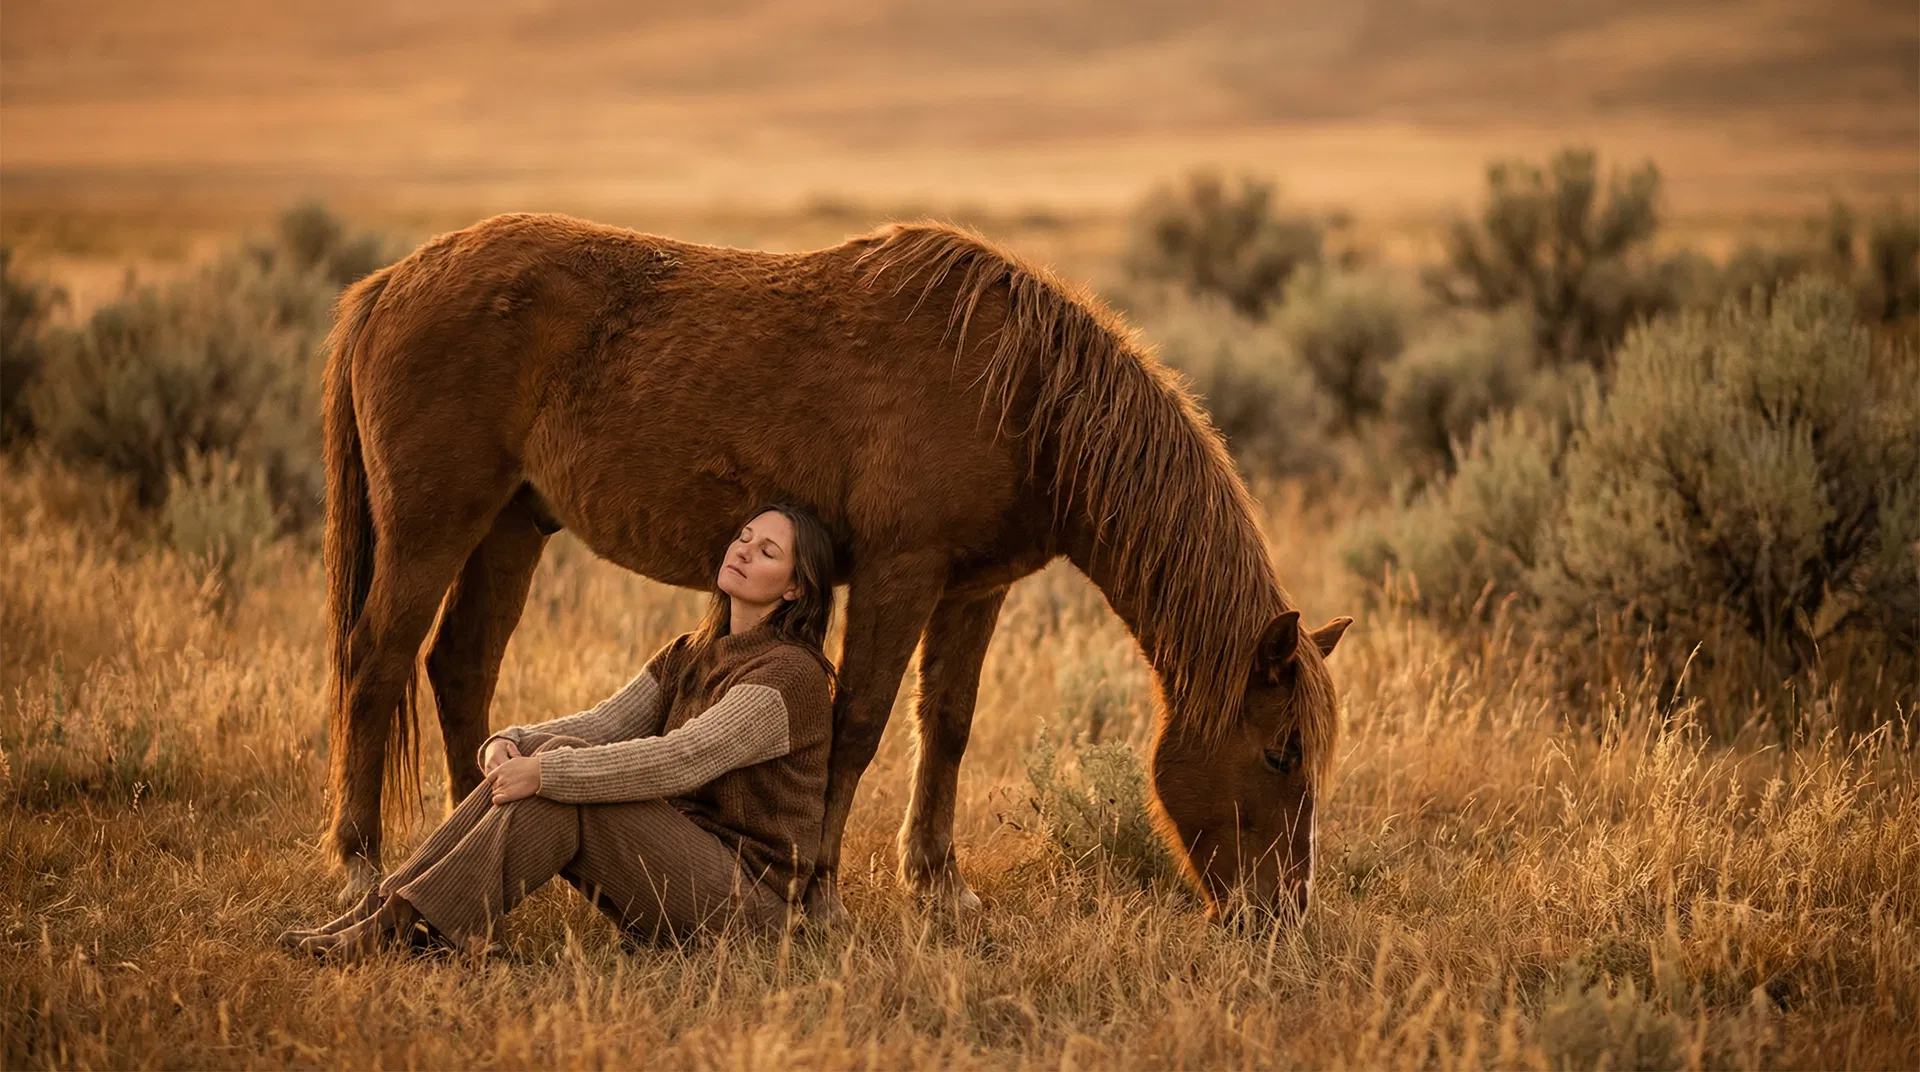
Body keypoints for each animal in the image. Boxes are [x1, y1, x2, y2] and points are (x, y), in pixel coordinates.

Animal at [319, 212, 1352, 920]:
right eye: (1281, 751)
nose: (1281, 916)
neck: (1020, 395)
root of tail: (392, 281)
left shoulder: (974, 589)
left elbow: (948, 725)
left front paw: (938, 884)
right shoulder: (902, 572)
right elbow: (857, 725)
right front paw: (821, 890)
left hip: (512, 525)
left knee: (461, 666)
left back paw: (467, 812)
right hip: (435, 525)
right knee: (376, 664)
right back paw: (360, 861)